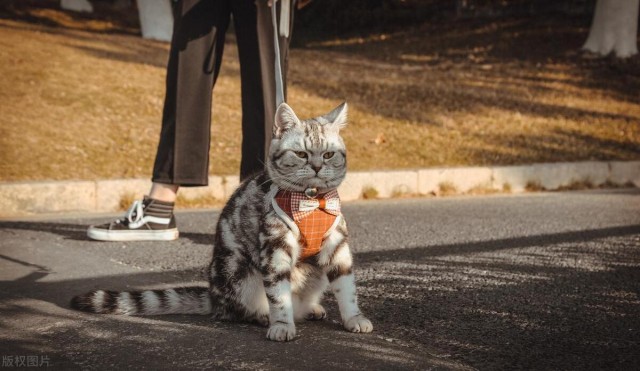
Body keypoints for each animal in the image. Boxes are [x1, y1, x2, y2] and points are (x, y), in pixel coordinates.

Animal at [73, 102, 376, 342]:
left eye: (328, 154)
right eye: (301, 154)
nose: (316, 166)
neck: (311, 201)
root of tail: (213, 296)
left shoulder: (338, 247)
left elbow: (347, 289)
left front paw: (354, 318)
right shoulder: (275, 248)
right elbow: (279, 295)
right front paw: (281, 324)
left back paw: (310, 308)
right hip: (239, 273)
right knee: (240, 309)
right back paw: (263, 316)